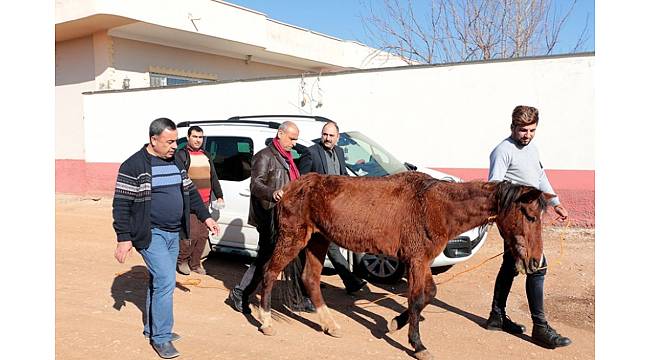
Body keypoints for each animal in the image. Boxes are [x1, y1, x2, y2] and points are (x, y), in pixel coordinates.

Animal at [253, 172, 552, 360]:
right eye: (530, 215)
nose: (535, 262)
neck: (436, 206)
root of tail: (289, 188)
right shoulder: (417, 261)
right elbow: (418, 298)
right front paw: (417, 345)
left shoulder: (421, 261)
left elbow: (428, 295)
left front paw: (394, 323)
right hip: (293, 238)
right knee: (269, 272)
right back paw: (266, 322)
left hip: (317, 240)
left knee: (310, 279)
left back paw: (330, 325)